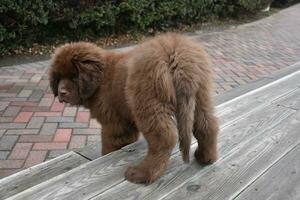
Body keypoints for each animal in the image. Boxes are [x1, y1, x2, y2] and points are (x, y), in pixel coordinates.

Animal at [48, 33, 218, 184]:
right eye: (59, 78)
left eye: (74, 76)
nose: (61, 93)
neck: (100, 80)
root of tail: (177, 57)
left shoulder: (114, 123)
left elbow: (110, 144)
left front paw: (107, 154)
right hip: (201, 95)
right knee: (207, 125)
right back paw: (206, 157)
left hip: (148, 103)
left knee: (164, 138)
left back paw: (142, 174)